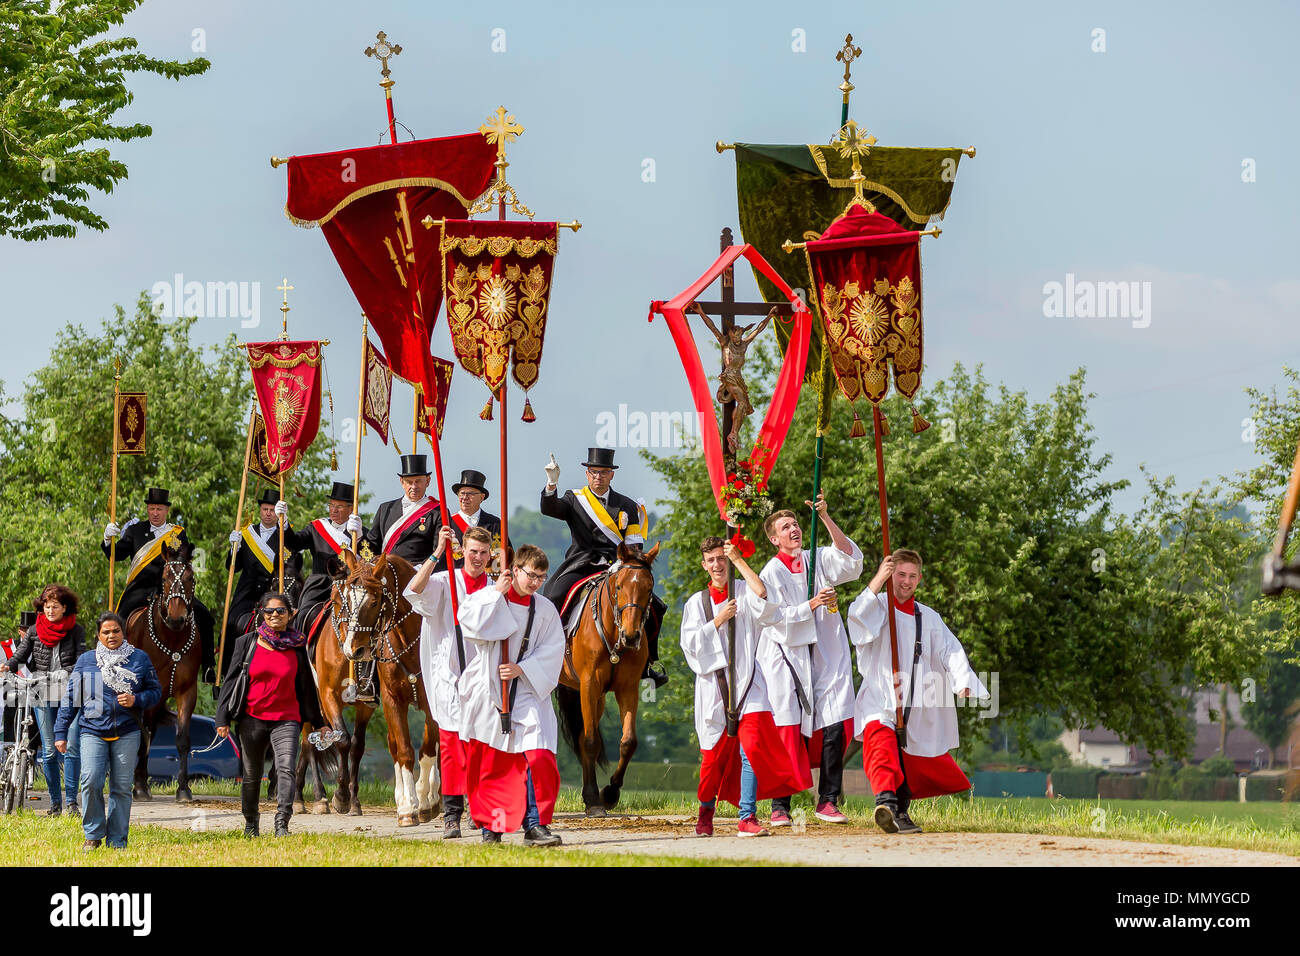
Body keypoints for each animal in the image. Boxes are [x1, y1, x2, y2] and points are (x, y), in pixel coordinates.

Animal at [126, 541, 200, 806]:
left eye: (190, 578)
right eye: (166, 577)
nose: (177, 618)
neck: (172, 638)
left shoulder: (187, 691)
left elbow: (183, 740)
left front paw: (184, 789)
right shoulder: (147, 693)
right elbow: (143, 734)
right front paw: (139, 786)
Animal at [330, 548, 441, 827]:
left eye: (374, 600)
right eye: (347, 599)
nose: (353, 649)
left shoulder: (432, 704)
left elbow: (427, 750)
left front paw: (426, 800)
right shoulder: (392, 701)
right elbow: (403, 750)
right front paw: (408, 807)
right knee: (394, 746)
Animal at [556, 541, 660, 816]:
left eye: (649, 588)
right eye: (620, 586)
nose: (632, 636)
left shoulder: (627, 688)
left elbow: (628, 741)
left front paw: (609, 793)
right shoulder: (589, 685)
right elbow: (592, 741)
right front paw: (595, 801)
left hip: (596, 697)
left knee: (582, 738)